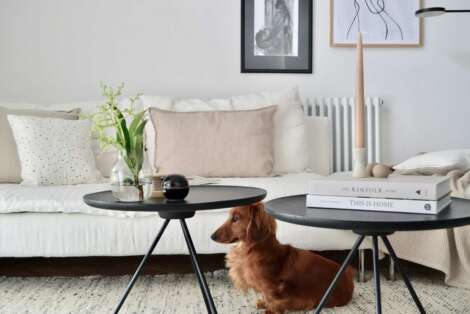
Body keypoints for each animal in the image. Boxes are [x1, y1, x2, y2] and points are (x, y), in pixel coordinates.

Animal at [211, 202, 354, 312]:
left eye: (236, 218)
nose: (212, 236)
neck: (252, 250)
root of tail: (349, 278)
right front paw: (264, 304)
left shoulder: (272, 285)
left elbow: (271, 297)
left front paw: (271, 308)